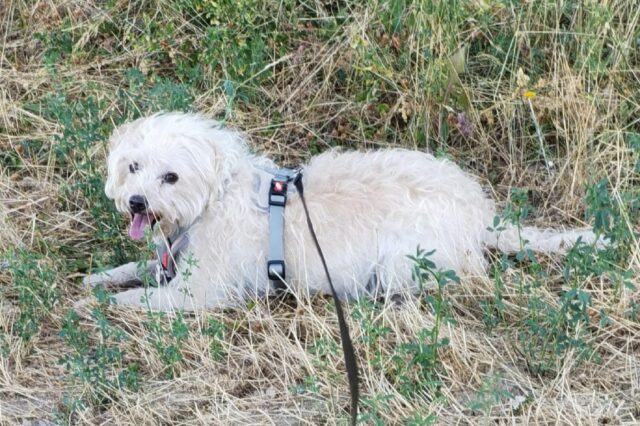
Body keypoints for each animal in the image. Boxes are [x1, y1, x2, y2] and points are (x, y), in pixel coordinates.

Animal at [84, 112, 596, 310]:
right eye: (134, 167)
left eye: (170, 177)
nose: (135, 202)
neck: (210, 201)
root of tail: (481, 215)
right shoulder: (170, 265)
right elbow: (133, 268)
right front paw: (97, 279)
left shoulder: (196, 293)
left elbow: (139, 300)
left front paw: (96, 306)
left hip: (400, 265)